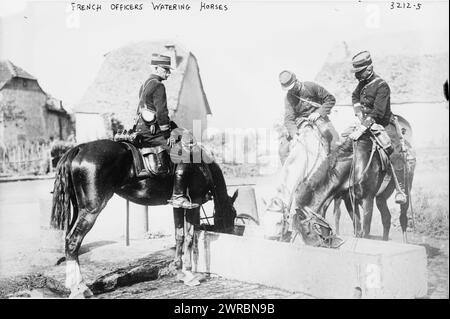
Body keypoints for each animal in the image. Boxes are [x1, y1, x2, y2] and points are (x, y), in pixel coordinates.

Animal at [50, 140, 239, 300]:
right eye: (232, 215)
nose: (230, 231)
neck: (202, 166)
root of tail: (79, 149)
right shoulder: (196, 202)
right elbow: (190, 238)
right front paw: (189, 274)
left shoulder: (177, 205)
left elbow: (179, 235)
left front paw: (178, 269)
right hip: (91, 210)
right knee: (73, 241)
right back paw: (79, 288)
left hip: (79, 209)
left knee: (69, 241)